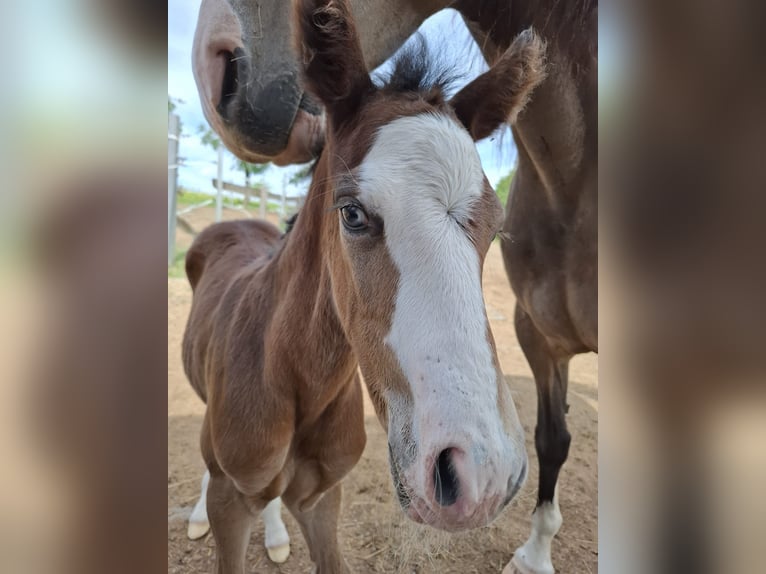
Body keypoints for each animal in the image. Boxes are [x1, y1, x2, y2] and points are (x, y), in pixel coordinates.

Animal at [191, 1, 596, 572]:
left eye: (497, 227)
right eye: (352, 214)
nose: (482, 476)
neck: (287, 375)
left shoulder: (320, 499)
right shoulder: (231, 504)